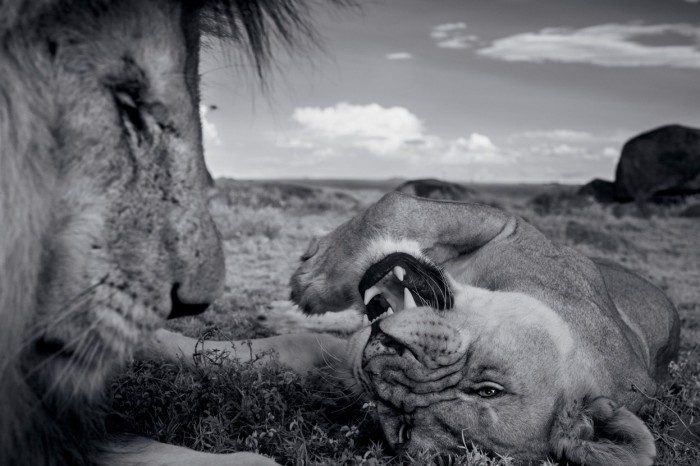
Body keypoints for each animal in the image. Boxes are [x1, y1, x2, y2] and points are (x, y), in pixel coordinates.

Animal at [152, 191, 680, 464]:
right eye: (488, 388)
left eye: (402, 428)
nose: (384, 365)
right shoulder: (514, 226)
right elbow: (397, 206)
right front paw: (315, 278)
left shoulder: (338, 359)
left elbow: (254, 355)